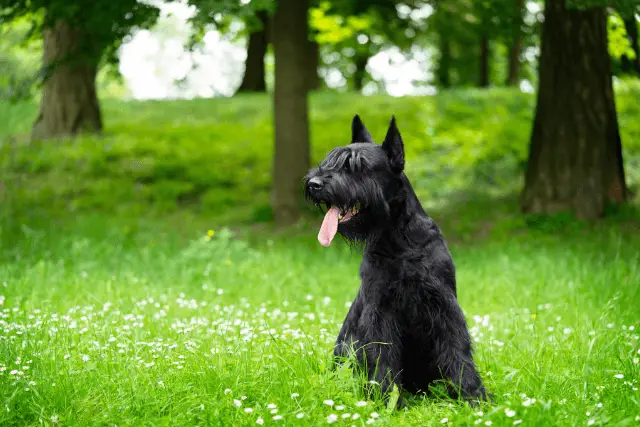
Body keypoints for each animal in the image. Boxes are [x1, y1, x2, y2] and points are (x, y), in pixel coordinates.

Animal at [304, 114, 490, 408]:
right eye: (329, 161)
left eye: (357, 166)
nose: (314, 184)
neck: (398, 239)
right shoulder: (380, 310)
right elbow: (383, 355)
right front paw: (385, 398)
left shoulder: (444, 306)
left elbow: (457, 349)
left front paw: (473, 396)